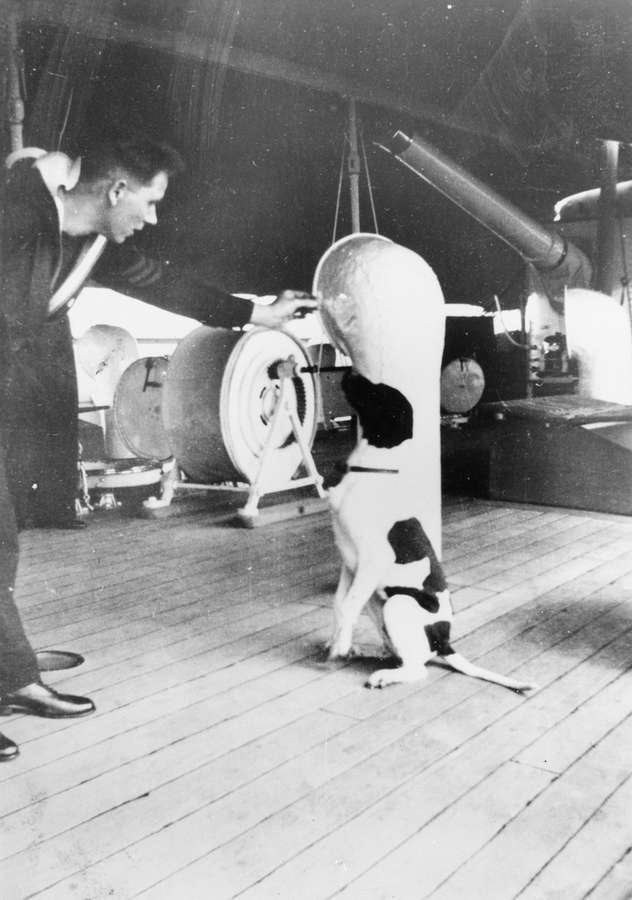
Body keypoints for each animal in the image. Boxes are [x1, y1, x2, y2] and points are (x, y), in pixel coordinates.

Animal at [326, 370, 540, 692]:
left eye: (378, 391)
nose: (349, 371)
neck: (368, 469)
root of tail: (444, 642)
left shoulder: (373, 559)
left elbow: (348, 604)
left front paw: (339, 647)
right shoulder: (350, 563)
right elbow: (341, 604)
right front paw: (340, 643)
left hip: (398, 603)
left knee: (417, 669)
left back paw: (382, 675)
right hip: (377, 602)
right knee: (396, 651)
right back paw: (368, 652)